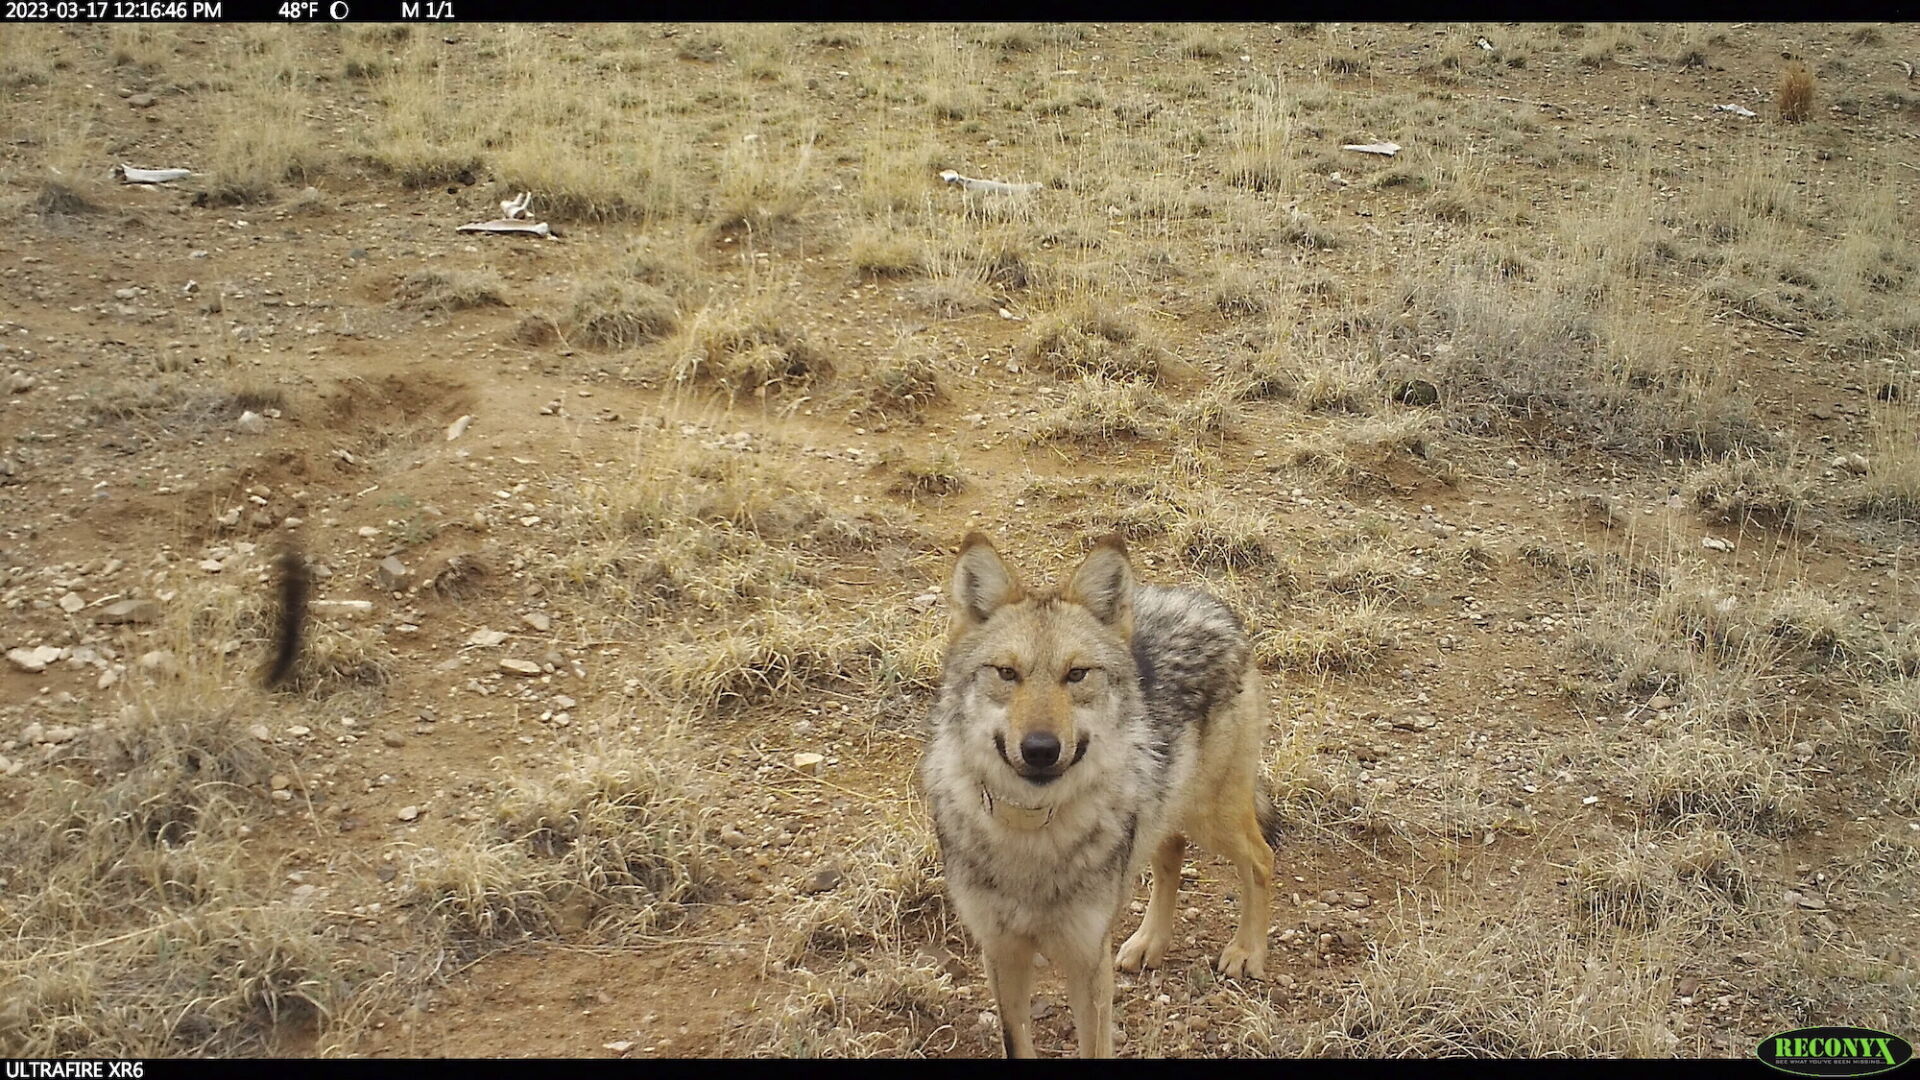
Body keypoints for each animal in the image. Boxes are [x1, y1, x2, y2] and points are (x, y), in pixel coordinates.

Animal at [919, 532, 1280, 1058]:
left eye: (1077, 674)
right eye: (1007, 673)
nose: (1041, 749)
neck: (1031, 836)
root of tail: (1207, 602)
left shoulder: (1087, 957)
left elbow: (1095, 1044)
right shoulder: (1002, 954)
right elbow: (1016, 1043)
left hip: (1212, 816)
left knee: (1260, 858)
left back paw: (1246, 951)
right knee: (1171, 854)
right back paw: (1150, 942)